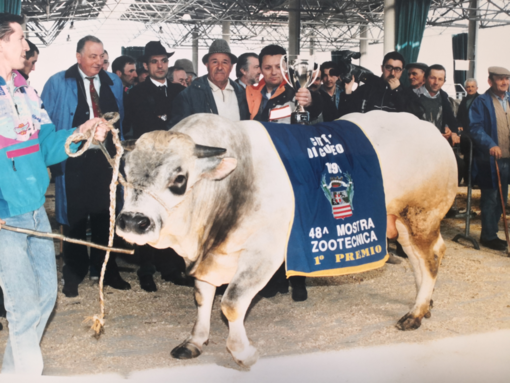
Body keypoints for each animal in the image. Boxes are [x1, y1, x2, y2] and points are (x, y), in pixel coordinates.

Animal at [116, 111, 458, 368]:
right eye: (124, 174)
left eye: (179, 178)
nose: (133, 221)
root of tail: (428, 128)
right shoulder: (207, 256)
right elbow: (203, 296)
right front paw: (195, 341)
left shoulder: (263, 252)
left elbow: (232, 302)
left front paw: (243, 352)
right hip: (401, 221)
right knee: (419, 258)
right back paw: (424, 303)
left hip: (422, 215)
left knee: (431, 257)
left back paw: (415, 313)